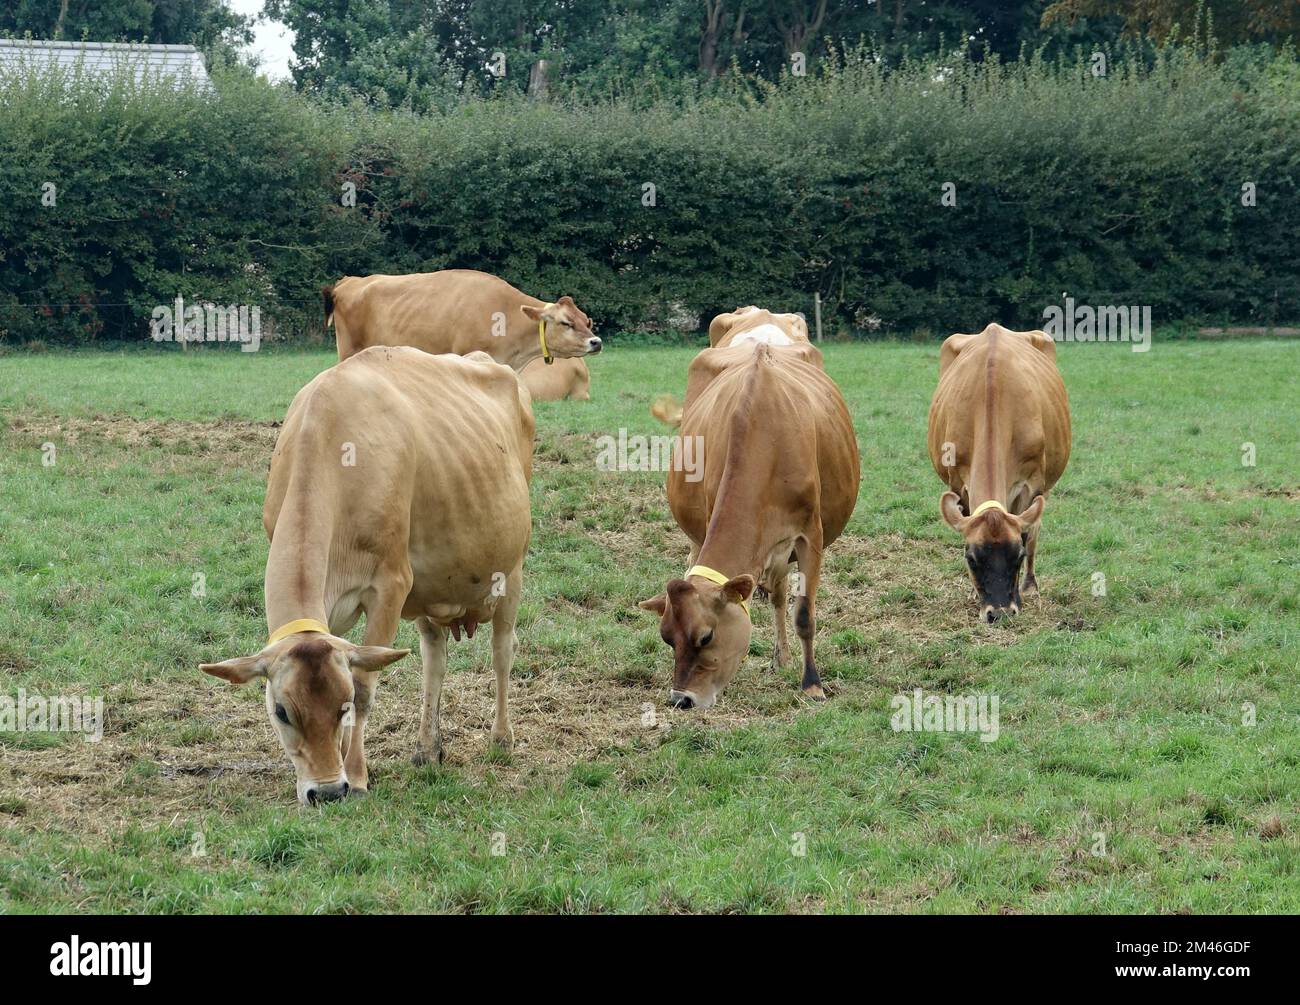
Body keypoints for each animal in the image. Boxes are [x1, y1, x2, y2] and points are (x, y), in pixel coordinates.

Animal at [200, 347, 534, 804]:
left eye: (341, 707)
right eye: (281, 711)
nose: (326, 792)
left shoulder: (390, 584)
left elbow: (364, 686)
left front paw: (356, 774)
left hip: (511, 571)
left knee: (503, 651)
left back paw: (501, 738)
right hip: (432, 589)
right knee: (434, 658)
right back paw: (427, 747)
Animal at [638, 340, 859, 710]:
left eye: (706, 636)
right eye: (667, 638)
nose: (681, 699)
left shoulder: (810, 536)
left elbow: (804, 614)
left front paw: (812, 685)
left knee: (781, 595)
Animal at [927, 323, 1071, 623]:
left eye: (1017, 556)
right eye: (971, 558)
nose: (1000, 612)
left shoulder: (1031, 484)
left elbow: (1028, 534)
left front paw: (1020, 595)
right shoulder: (958, 483)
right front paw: (973, 593)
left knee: (1036, 529)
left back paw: (1030, 586)